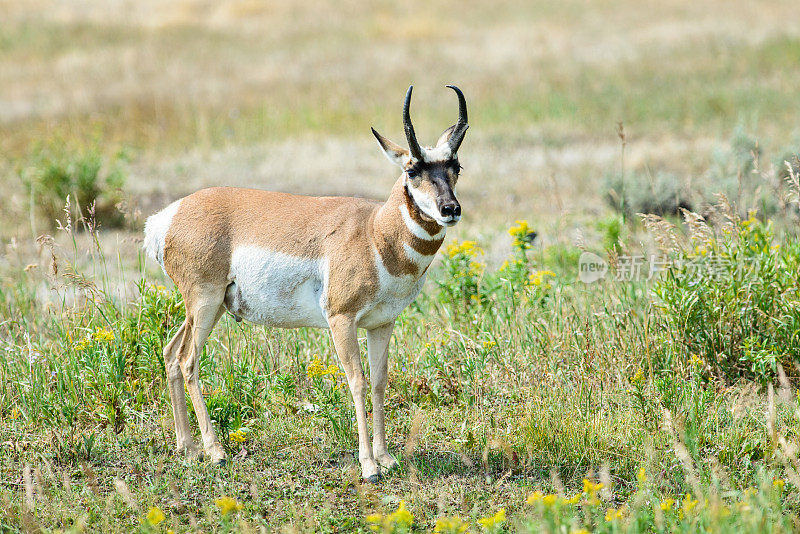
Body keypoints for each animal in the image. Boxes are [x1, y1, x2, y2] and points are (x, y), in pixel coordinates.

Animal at [144, 86, 468, 484]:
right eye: (412, 169)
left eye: (456, 167)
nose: (450, 209)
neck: (374, 232)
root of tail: (167, 218)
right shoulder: (341, 320)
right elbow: (358, 382)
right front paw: (369, 466)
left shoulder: (381, 324)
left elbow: (379, 382)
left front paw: (387, 457)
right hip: (204, 304)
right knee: (188, 360)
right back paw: (215, 451)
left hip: (209, 307)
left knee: (170, 353)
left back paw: (187, 449)